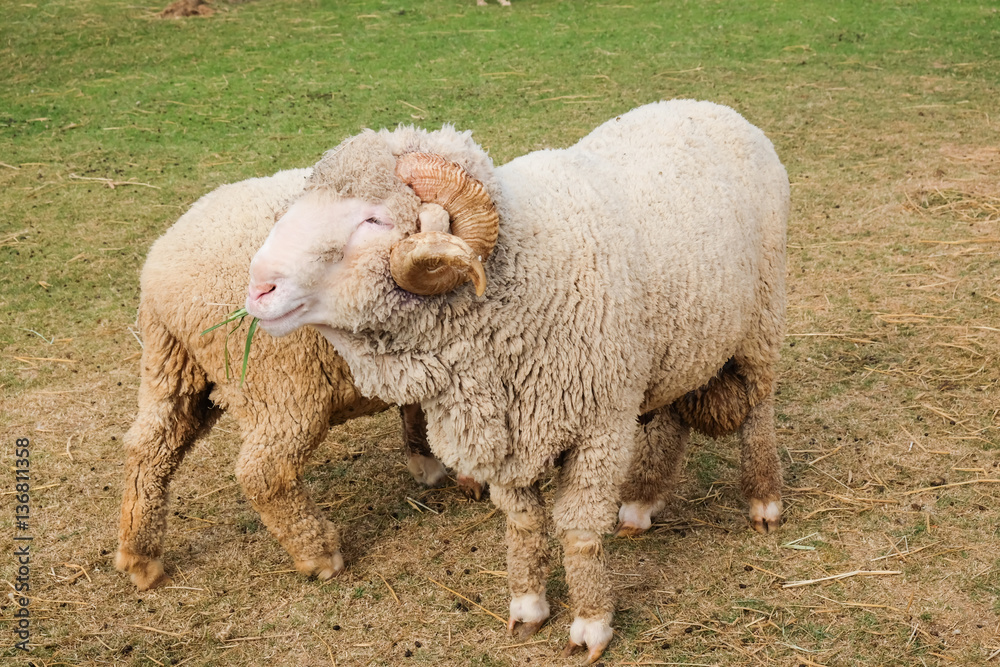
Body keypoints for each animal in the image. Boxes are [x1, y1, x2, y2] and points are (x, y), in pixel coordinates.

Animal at [115, 167, 463, 592]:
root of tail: (159, 271)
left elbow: (415, 407)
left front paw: (425, 463)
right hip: (282, 383)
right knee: (263, 471)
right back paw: (319, 555)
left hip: (170, 364)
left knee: (148, 448)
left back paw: (139, 558)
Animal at [243, 100, 789, 662]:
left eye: (373, 219)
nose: (258, 288)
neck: (522, 276)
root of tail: (706, 105)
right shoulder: (510, 431)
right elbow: (523, 524)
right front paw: (527, 607)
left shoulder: (600, 427)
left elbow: (579, 528)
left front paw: (591, 624)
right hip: (680, 343)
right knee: (673, 414)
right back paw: (641, 502)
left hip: (762, 318)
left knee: (759, 408)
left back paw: (764, 503)